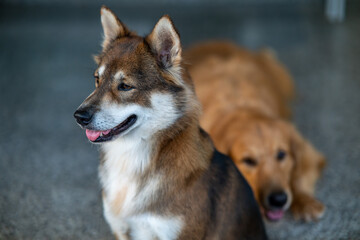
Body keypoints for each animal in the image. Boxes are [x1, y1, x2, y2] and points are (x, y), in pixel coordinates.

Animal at [186, 41, 326, 221]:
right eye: (248, 161)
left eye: (282, 154)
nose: (278, 200)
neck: (241, 108)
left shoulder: (309, 152)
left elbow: (301, 172)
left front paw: (304, 201)